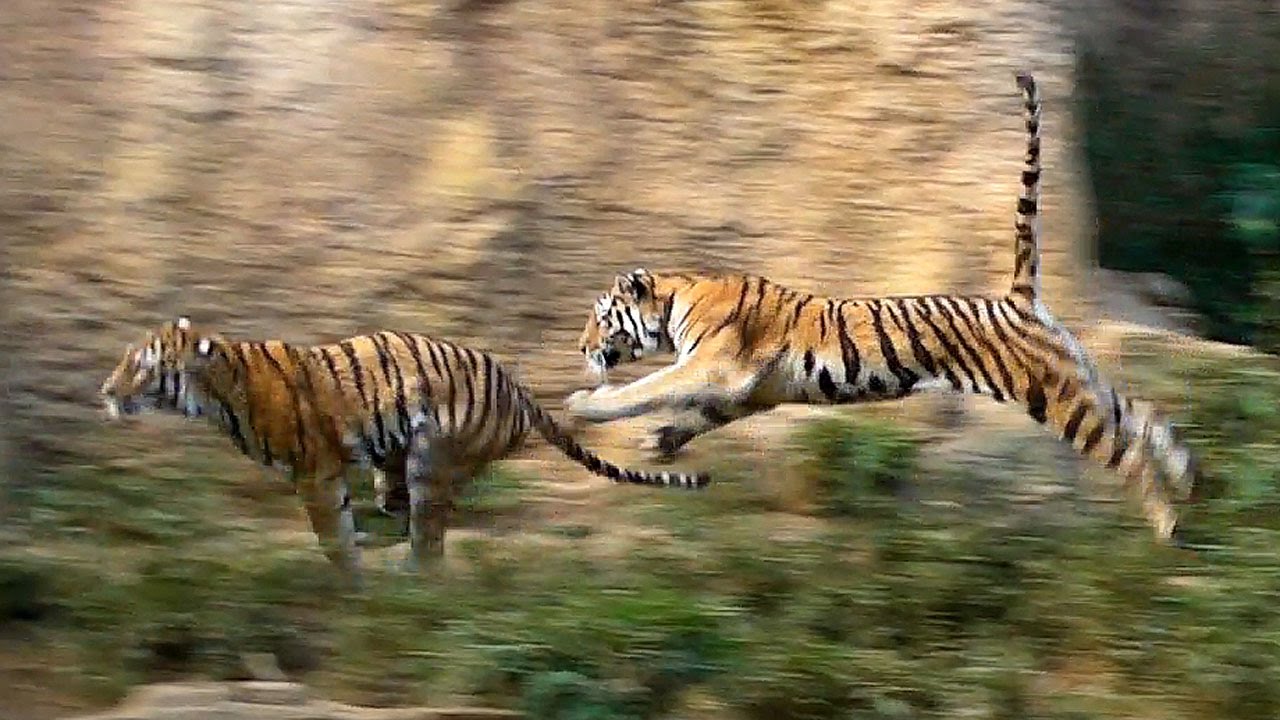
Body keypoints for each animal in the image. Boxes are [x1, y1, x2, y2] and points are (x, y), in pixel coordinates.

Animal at [98, 319, 711, 584]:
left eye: (141, 366)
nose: (105, 391)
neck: (215, 390)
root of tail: (519, 390)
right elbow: (345, 526)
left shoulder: (314, 472)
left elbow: (332, 534)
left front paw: (348, 578)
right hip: (400, 460)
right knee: (413, 512)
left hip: (431, 454)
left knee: (431, 533)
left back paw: (412, 570)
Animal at [565, 73, 1203, 543]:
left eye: (600, 316)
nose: (580, 346)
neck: (677, 296)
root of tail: (1018, 300)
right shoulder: (754, 391)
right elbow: (695, 414)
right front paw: (659, 441)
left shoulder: (715, 367)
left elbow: (645, 389)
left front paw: (583, 406)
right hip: (1078, 375)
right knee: (1144, 416)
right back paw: (1188, 474)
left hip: (1056, 398)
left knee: (1126, 451)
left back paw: (1167, 521)